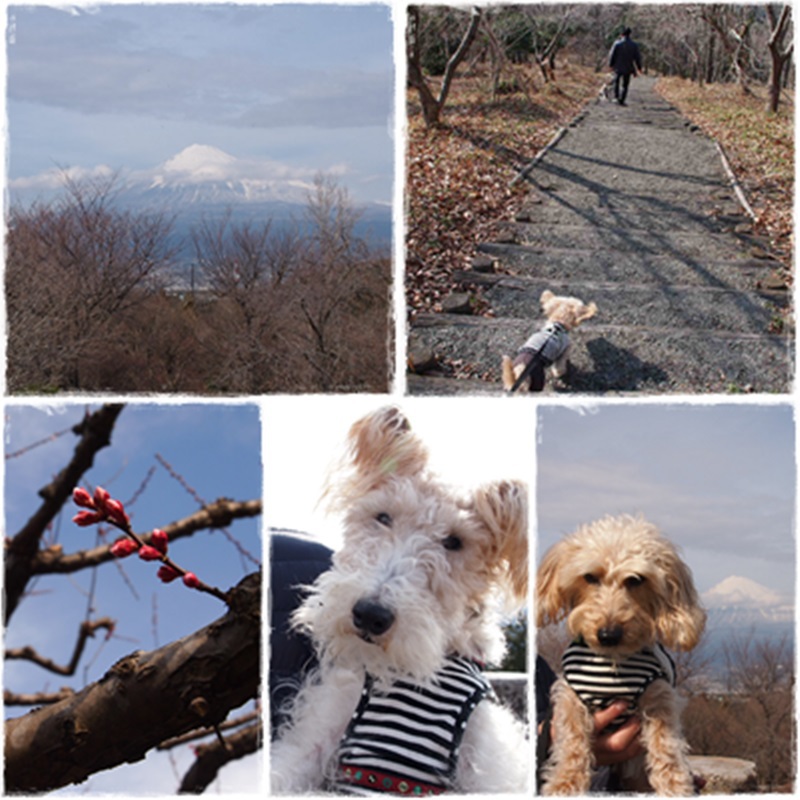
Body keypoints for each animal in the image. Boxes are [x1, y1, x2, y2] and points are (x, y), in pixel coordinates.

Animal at [270, 410, 532, 796]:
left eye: (455, 542)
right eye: (383, 517)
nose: (370, 615)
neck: (401, 673)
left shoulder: (491, 767)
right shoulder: (317, 736)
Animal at [536, 516, 704, 796]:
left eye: (636, 580)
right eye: (589, 577)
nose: (608, 634)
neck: (613, 662)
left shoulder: (658, 693)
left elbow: (665, 743)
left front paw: (675, 784)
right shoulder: (570, 695)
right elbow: (572, 739)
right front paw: (565, 783)